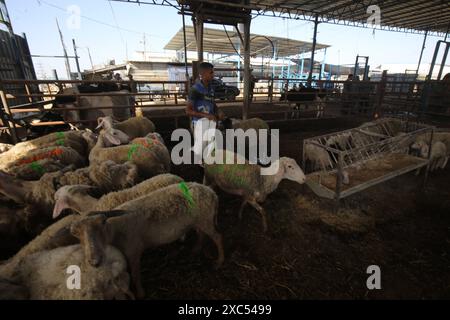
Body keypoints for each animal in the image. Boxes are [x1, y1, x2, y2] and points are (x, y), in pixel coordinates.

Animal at [68, 182, 223, 298]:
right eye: (76, 234)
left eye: (102, 224)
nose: (94, 261)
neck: (115, 229)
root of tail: (211, 192)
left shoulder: (134, 251)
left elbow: (136, 275)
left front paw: (141, 293)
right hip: (198, 221)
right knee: (201, 234)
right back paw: (196, 250)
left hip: (206, 219)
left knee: (218, 238)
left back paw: (219, 262)